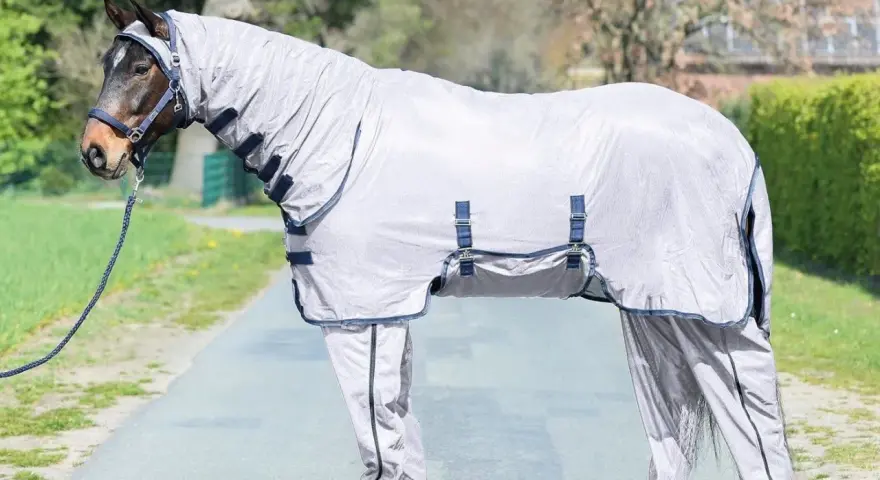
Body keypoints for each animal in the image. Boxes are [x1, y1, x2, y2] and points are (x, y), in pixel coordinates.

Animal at [80, 1, 794, 478]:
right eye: (109, 60)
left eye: (141, 66)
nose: (95, 152)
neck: (340, 139)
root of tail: (738, 144)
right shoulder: (386, 312)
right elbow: (395, 438)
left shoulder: (363, 313)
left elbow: (379, 439)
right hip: (656, 314)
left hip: (708, 316)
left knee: (757, 427)